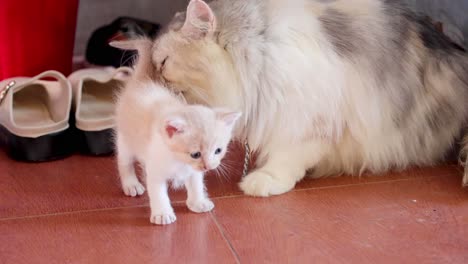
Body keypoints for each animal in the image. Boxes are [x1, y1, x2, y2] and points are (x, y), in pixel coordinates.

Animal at [111, 39, 239, 225]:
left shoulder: (193, 171)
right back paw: (131, 184)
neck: (179, 161)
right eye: (195, 154)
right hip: (125, 138)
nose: (208, 166)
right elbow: (158, 193)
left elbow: (196, 184)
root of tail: (142, 81)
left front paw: (198, 203)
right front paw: (162, 214)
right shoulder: (155, 170)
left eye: (218, 150)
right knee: (124, 161)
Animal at [135, 0, 468, 197]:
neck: (259, 55)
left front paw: (262, 181)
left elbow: (289, 155)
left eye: (163, 63)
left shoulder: (309, 119)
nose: (152, 83)